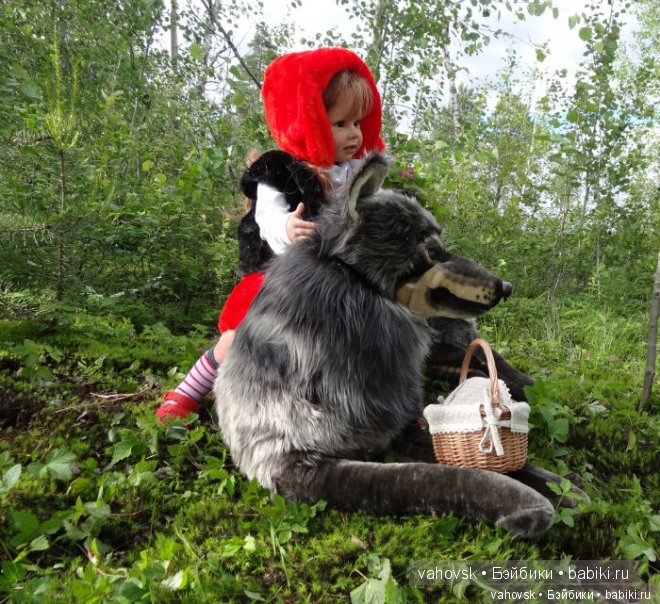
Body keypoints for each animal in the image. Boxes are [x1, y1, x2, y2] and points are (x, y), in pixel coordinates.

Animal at [215, 154, 585, 538]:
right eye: (433, 251)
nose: (507, 287)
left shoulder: (401, 423)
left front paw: (563, 486)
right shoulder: (297, 464)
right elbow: (448, 478)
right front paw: (530, 503)